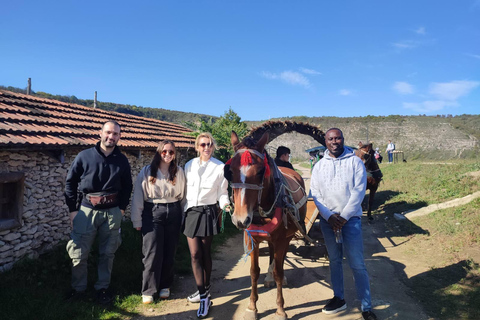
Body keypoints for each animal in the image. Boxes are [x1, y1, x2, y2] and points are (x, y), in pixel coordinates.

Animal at [227, 131, 306, 320]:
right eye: (230, 171)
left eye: (261, 171)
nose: (240, 219)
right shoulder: (252, 239)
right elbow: (254, 271)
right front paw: (251, 307)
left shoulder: (281, 239)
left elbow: (278, 270)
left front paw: (280, 309)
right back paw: (268, 277)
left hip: (287, 236)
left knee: (281, 258)